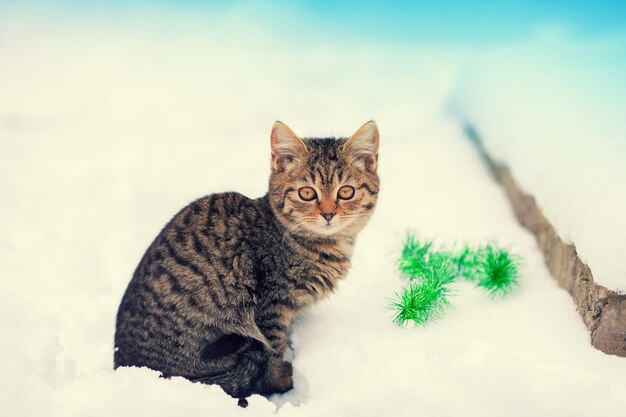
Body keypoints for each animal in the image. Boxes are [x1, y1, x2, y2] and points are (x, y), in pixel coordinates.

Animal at [114, 119, 378, 404]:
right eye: (307, 193)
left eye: (346, 191)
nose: (328, 214)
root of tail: (122, 363)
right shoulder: (271, 305)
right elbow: (273, 351)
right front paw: (282, 381)